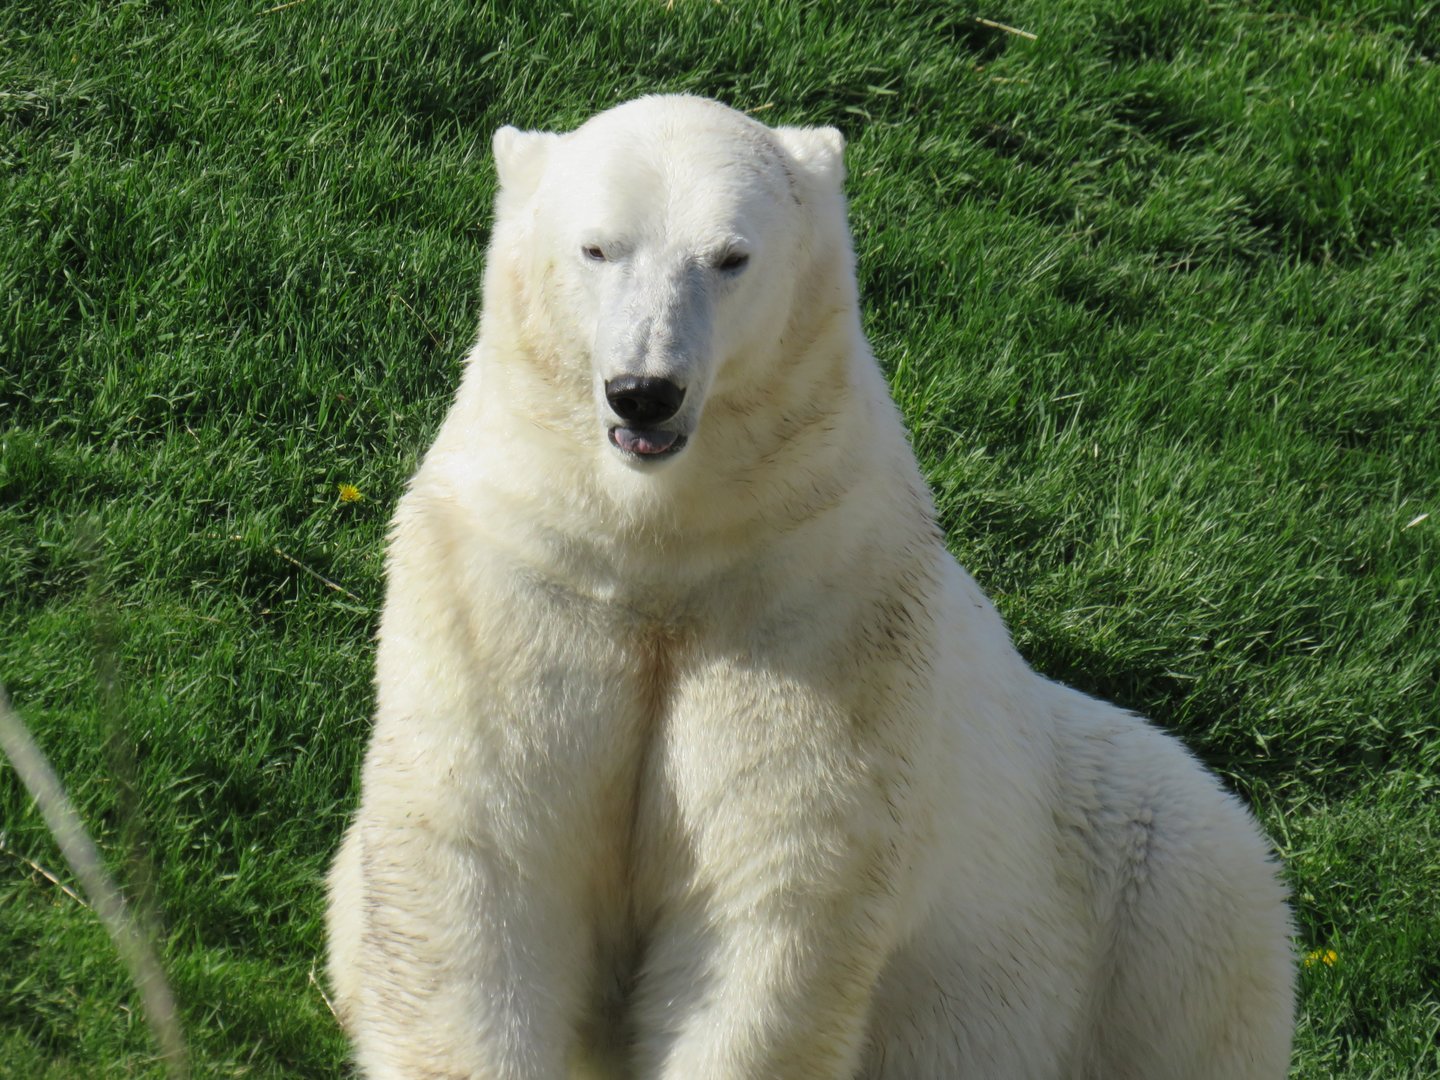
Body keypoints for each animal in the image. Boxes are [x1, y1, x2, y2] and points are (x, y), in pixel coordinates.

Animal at [326, 94, 1295, 1079]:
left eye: (730, 256)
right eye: (598, 247)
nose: (646, 391)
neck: (660, 550)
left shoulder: (825, 615)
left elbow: (771, 894)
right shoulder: (514, 582)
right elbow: (487, 853)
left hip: (1140, 871)